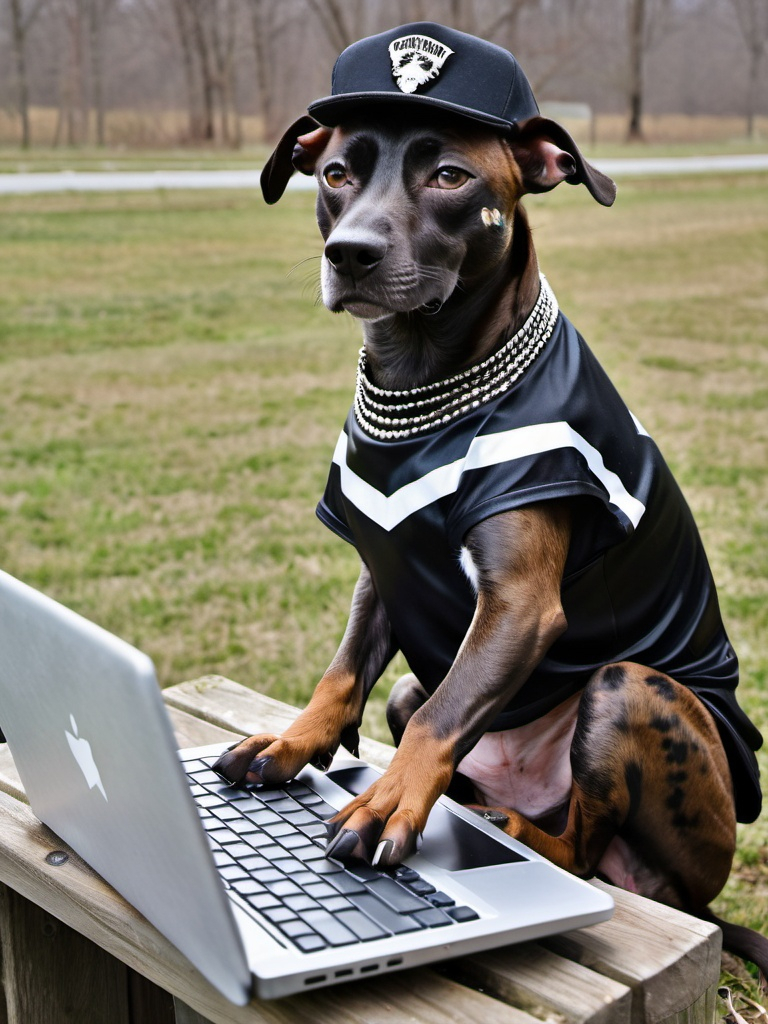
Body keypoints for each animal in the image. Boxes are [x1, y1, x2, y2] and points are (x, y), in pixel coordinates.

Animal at [214, 24, 765, 974]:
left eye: (449, 177)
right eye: (336, 173)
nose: (349, 252)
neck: (425, 381)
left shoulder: (517, 603)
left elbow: (442, 719)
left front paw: (386, 805)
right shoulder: (382, 573)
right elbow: (341, 674)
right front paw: (292, 743)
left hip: (627, 689)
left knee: (580, 847)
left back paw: (516, 829)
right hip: (438, 688)